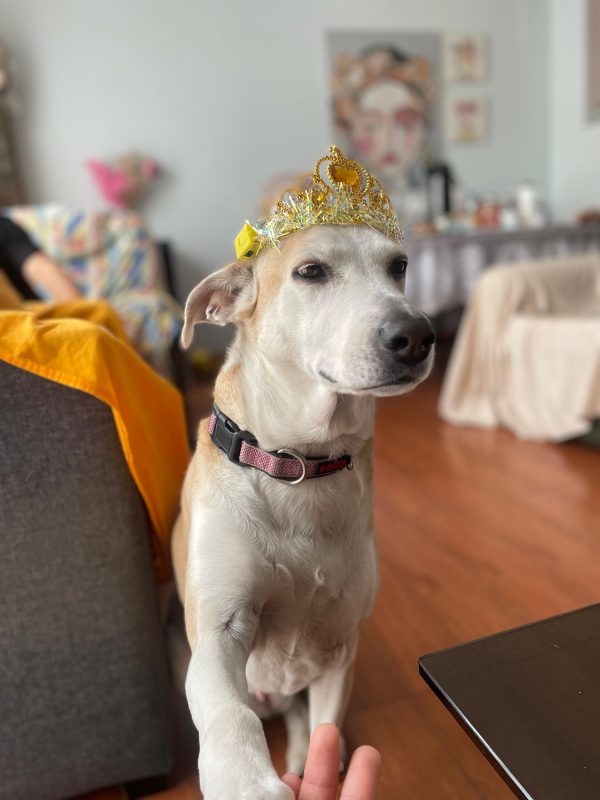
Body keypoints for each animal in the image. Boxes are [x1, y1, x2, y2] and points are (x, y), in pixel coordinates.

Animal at [172, 182, 434, 800]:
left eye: (399, 267)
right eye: (311, 271)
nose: (417, 335)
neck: (299, 463)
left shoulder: (340, 648)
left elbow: (325, 728)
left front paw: (322, 767)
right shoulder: (219, 629)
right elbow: (229, 712)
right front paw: (245, 782)